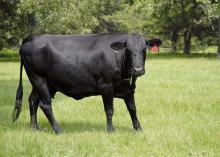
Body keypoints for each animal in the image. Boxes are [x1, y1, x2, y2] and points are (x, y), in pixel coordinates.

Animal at [12, 33, 162, 134]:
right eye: (128, 50)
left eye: (144, 49)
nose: (138, 69)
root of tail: (30, 37)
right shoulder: (106, 86)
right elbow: (109, 110)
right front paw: (111, 130)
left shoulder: (129, 89)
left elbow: (133, 109)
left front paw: (139, 129)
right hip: (39, 79)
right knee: (45, 105)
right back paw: (58, 130)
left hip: (45, 83)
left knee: (33, 101)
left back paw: (35, 128)